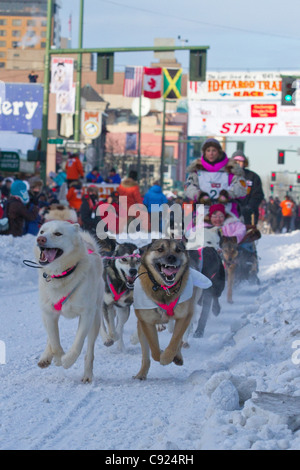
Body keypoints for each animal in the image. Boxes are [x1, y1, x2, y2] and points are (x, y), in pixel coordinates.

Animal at [34, 220, 103, 382]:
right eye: (42, 231)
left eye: (58, 233)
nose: (40, 239)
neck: (61, 275)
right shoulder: (49, 313)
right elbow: (54, 340)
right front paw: (58, 357)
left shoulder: (87, 315)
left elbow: (78, 343)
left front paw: (67, 360)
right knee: (50, 336)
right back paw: (46, 356)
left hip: (95, 319)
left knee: (89, 351)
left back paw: (87, 375)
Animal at [132, 241, 212, 380]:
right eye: (160, 249)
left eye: (178, 250)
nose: (171, 258)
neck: (164, 289)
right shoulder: (146, 322)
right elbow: (154, 349)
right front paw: (160, 354)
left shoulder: (184, 316)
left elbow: (175, 341)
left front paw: (167, 357)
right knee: (146, 354)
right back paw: (141, 373)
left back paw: (177, 356)